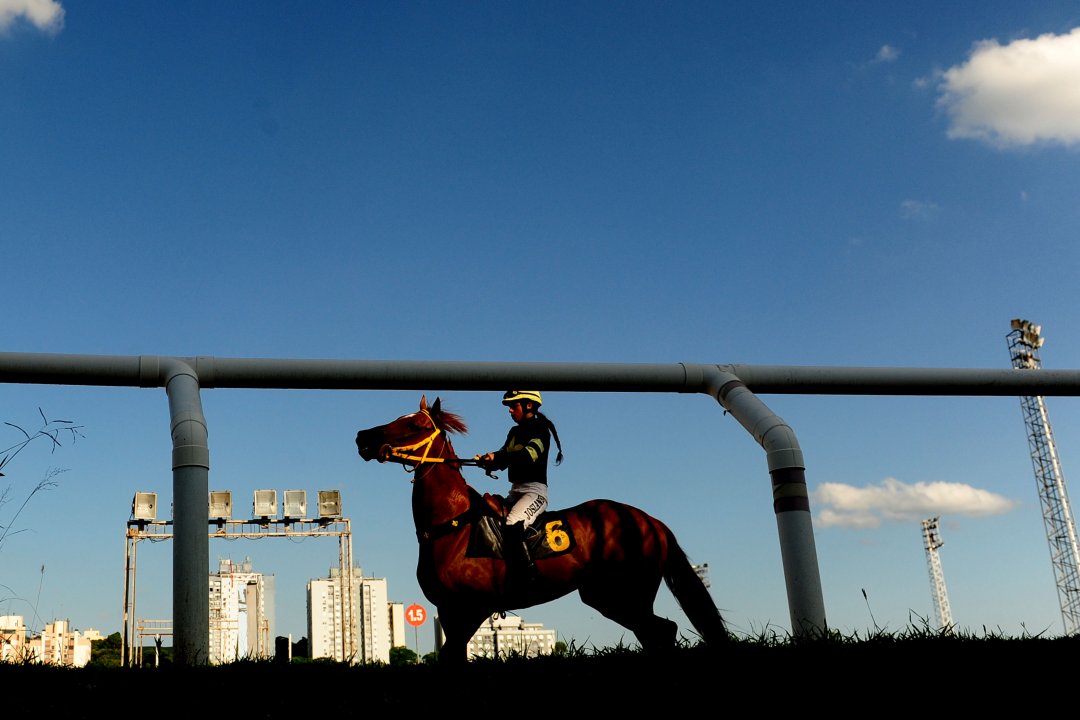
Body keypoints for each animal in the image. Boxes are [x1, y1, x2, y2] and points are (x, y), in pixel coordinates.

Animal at [354, 395, 729, 663]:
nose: (362, 436)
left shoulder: (472, 608)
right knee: (656, 632)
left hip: (625, 593)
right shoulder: (448, 610)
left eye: (414, 425)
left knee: (662, 630)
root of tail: (651, 521)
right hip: (607, 596)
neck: (453, 525)